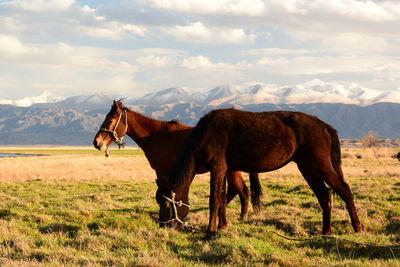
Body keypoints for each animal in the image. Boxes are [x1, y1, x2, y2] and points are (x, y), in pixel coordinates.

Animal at [93, 101, 262, 221]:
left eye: (109, 121)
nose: (96, 142)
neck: (155, 135)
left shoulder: (162, 171)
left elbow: (163, 194)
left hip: (232, 171)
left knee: (243, 191)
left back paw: (242, 217)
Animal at [158, 108, 364, 240]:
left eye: (167, 204)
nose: (163, 226)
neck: (206, 134)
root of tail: (324, 126)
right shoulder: (224, 170)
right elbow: (222, 199)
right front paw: (222, 226)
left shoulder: (217, 168)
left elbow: (214, 200)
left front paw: (210, 232)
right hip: (307, 167)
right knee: (324, 196)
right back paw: (326, 231)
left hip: (319, 165)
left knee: (344, 190)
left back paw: (357, 227)